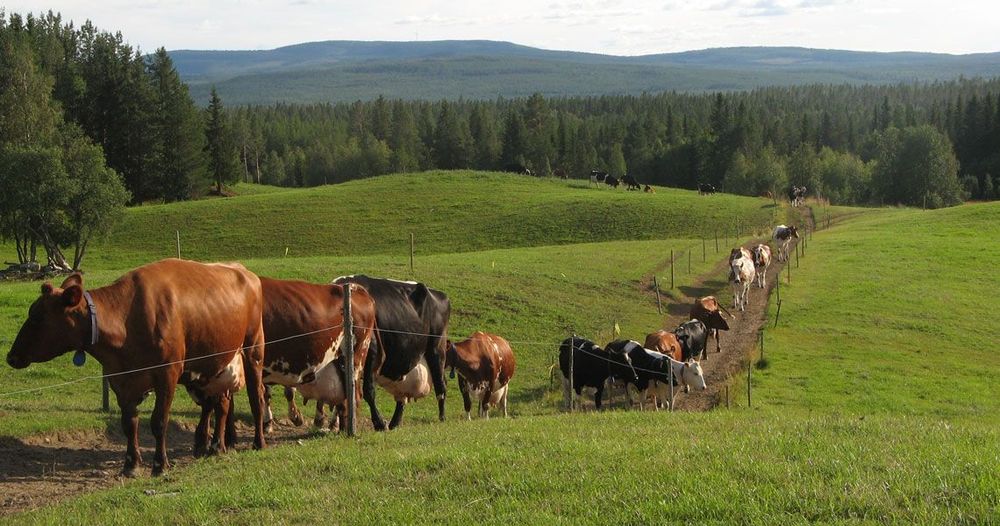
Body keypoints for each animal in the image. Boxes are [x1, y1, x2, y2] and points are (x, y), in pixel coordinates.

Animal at [5, 260, 268, 477]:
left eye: (37, 317)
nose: (11, 356)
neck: (126, 320)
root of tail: (244, 272)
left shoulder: (167, 373)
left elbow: (159, 421)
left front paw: (160, 465)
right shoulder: (120, 379)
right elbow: (129, 423)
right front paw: (130, 465)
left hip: (253, 349)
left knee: (255, 398)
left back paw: (257, 442)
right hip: (210, 363)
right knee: (217, 404)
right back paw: (211, 446)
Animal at [332, 275, 450, 430]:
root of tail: (440, 294)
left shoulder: (372, 352)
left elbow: (368, 391)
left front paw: (379, 423)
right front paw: (338, 425)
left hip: (437, 349)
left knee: (441, 385)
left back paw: (442, 417)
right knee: (402, 398)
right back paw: (395, 422)